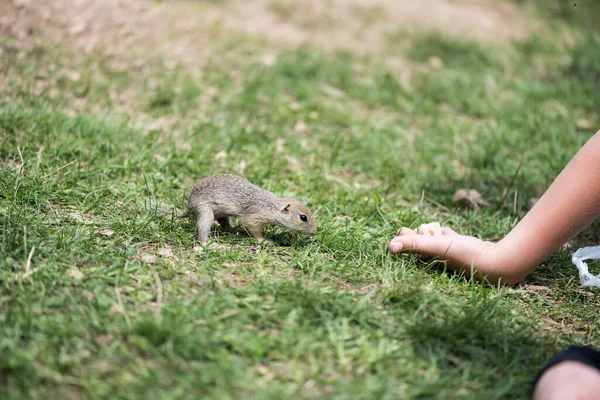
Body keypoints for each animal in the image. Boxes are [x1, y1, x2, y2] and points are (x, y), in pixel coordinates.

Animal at [177, 175, 318, 244]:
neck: (271, 206)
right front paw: (264, 241)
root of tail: (189, 206)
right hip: (205, 211)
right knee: (202, 231)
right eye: (303, 217)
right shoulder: (255, 217)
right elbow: (253, 228)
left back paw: (236, 230)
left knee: (225, 225)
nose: (314, 232)